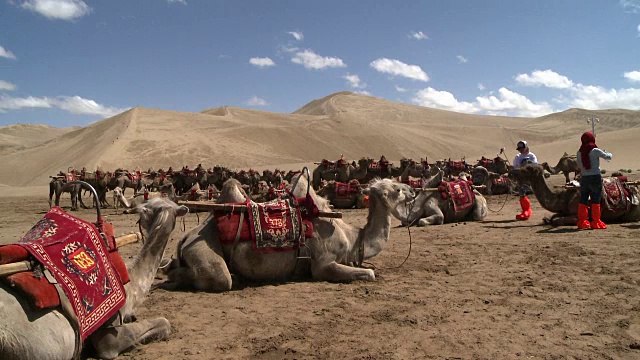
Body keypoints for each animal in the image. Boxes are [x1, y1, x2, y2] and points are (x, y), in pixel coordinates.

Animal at [162, 174, 416, 292]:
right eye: (396, 189)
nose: (413, 190)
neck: (354, 238)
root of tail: (185, 237)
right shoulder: (323, 264)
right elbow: (369, 274)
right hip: (202, 249)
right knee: (220, 278)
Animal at [504, 165, 640, 225]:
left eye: (527, 169)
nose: (510, 172)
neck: (564, 198)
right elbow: (552, 217)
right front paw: (547, 219)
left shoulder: (576, 215)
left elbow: (557, 221)